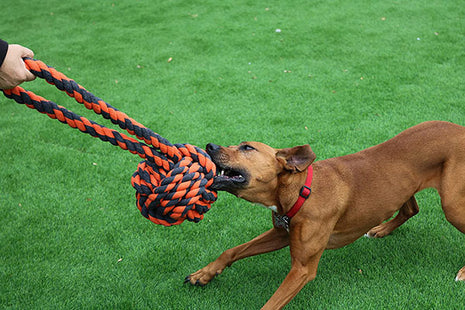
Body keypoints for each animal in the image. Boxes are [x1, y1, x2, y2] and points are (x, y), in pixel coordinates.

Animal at [185, 120, 464, 308]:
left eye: (247, 148)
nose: (209, 145)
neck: (301, 191)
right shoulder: (281, 233)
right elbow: (231, 251)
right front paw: (204, 274)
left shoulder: (302, 269)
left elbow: (271, 304)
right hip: (404, 186)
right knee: (411, 208)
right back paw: (381, 228)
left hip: (452, 205)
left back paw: (463, 271)